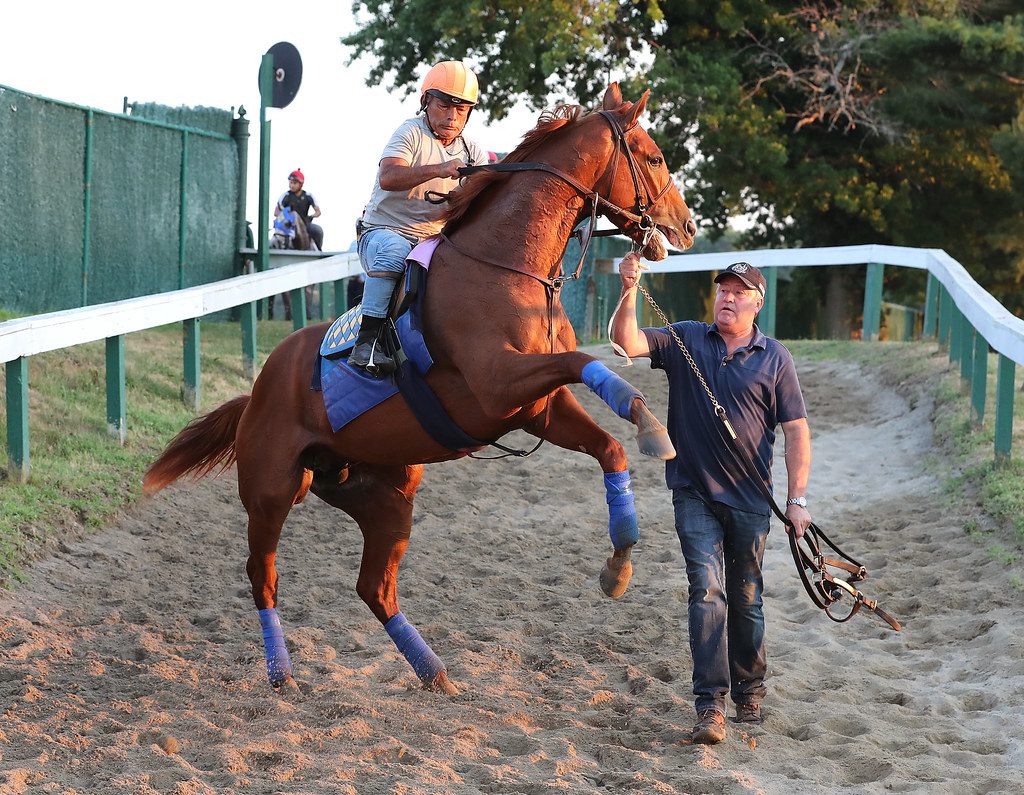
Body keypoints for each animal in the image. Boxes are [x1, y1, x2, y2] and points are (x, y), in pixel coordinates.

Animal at [144, 87, 700, 692]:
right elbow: (584, 363)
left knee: (374, 588)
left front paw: (619, 563)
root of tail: (259, 390)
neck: (506, 267)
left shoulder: (537, 409)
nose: (687, 225)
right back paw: (283, 675)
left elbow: (610, 447)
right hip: (272, 491)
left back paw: (437, 675)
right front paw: (652, 424)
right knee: (262, 577)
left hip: (386, 494)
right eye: (654, 157)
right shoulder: (498, 383)